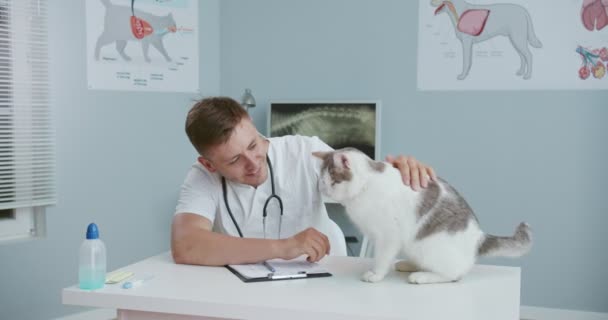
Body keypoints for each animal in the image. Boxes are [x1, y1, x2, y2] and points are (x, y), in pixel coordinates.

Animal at [314, 148, 532, 284]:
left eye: (333, 181)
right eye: (321, 181)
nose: (324, 189)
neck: (366, 187)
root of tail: (479, 236)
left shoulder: (388, 236)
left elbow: (382, 258)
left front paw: (376, 274)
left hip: (430, 248)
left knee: (454, 274)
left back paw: (423, 276)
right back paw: (408, 265)